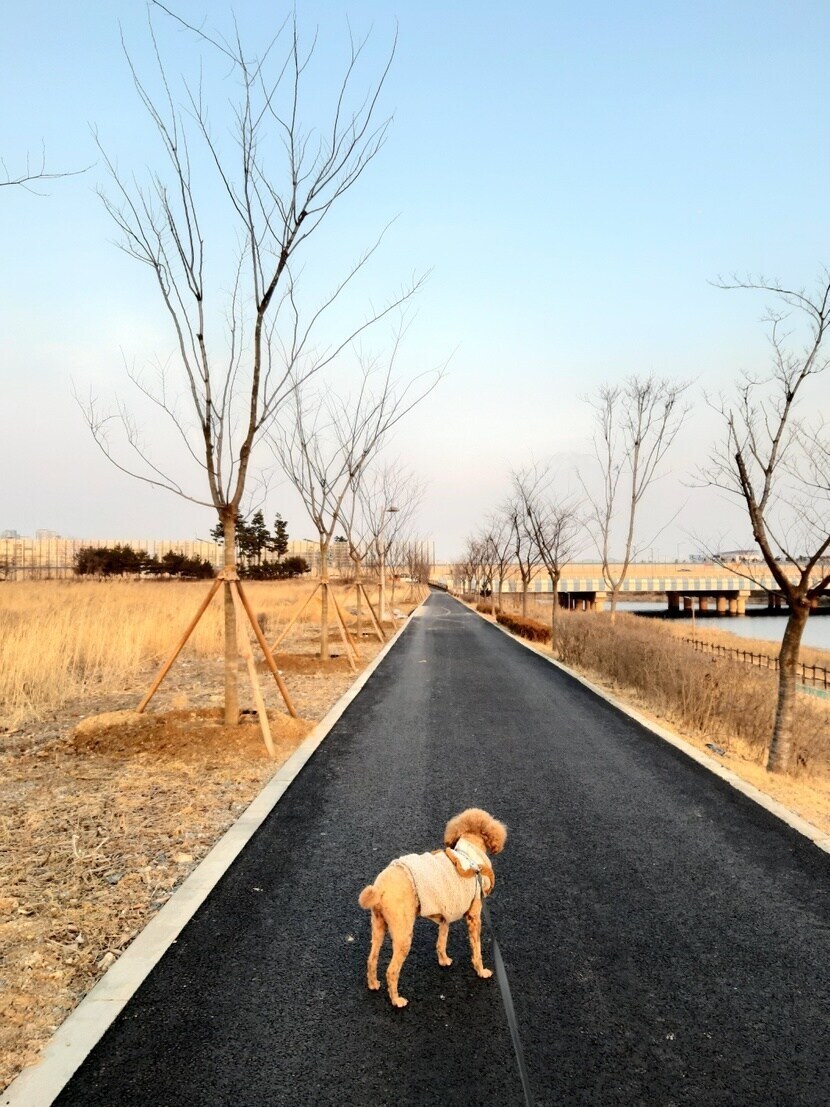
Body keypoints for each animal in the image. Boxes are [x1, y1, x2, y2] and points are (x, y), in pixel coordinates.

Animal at [358, 808, 507, 1008]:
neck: (469, 855)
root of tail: (379, 888)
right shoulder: (474, 918)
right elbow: (476, 950)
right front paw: (481, 971)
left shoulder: (445, 916)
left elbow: (441, 941)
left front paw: (444, 960)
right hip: (403, 933)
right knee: (391, 970)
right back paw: (397, 1000)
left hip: (378, 925)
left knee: (371, 959)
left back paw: (373, 984)